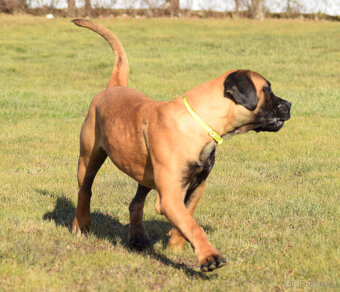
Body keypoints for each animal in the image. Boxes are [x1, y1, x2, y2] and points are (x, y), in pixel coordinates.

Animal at [70, 20, 290, 272]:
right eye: (267, 89)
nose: (289, 104)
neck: (199, 122)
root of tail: (113, 87)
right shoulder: (170, 194)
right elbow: (192, 224)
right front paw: (209, 256)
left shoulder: (196, 185)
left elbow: (187, 217)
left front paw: (175, 246)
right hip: (89, 158)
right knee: (85, 191)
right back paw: (81, 225)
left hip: (144, 174)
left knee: (135, 203)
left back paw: (137, 237)